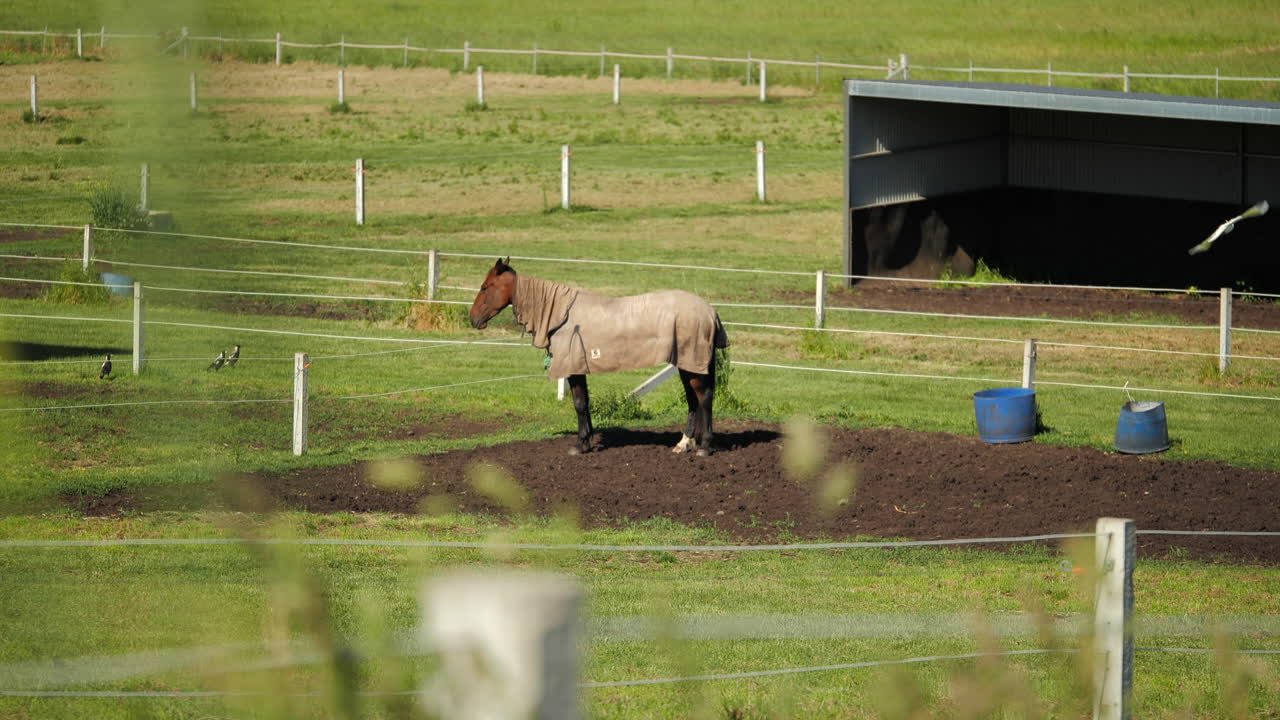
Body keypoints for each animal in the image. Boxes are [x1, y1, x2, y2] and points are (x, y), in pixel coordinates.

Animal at [469, 258, 729, 456]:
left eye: (485, 287)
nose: (473, 319)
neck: (561, 315)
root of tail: (710, 312)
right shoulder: (579, 368)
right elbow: (584, 402)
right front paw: (587, 441)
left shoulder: (572, 368)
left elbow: (579, 404)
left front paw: (579, 445)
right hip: (686, 364)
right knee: (693, 400)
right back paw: (684, 444)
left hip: (692, 364)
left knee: (704, 398)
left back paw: (704, 447)